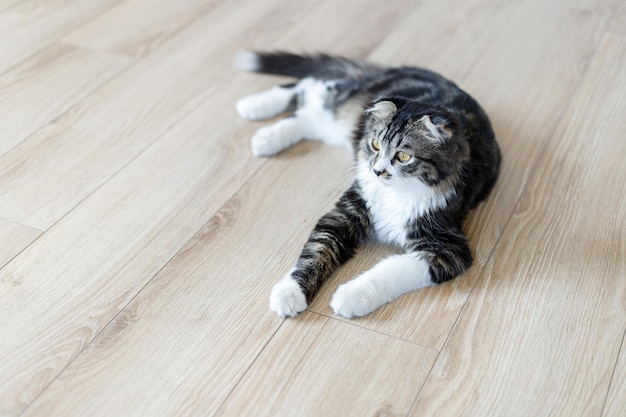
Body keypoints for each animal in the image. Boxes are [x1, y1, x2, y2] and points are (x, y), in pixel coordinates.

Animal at [232, 52, 500, 318]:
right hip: (342, 101)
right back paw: (254, 109)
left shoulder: (447, 248)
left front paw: (352, 296)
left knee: (307, 114)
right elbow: (314, 252)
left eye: (404, 156)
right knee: (305, 85)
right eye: (376, 145)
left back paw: (265, 134)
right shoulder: (343, 215)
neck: (395, 193)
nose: (377, 170)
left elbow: (391, 268)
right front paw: (289, 292)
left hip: (335, 126)